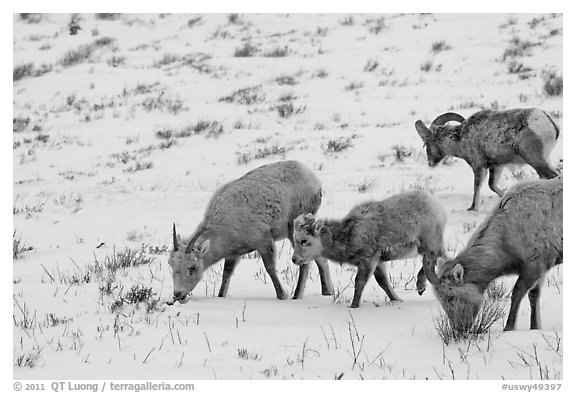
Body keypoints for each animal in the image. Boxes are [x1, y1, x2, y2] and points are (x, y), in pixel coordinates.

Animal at [166, 159, 332, 304]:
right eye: (171, 265)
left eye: (192, 268)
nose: (178, 294)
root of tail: (314, 179)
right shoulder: (233, 254)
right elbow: (226, 275)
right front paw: (221, 296)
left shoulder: (264, 241)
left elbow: (270, 268)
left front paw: (283, 296)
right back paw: (328, 292)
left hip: (293, 230)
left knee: (305, 263)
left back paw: (297, 296)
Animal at [292, 190, 446, 306]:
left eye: (304, 241)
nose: (294, 259)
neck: (347, 238)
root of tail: (436, 204)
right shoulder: (378, 261)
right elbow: (383, 282)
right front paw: (397, 300)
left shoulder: (369, 259)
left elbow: (359, 283)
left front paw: (354, 306)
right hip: (427, 246)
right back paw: (421, 286)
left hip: (430, 243)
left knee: (435, 261)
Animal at [416, 107, 560, 211]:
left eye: (427, 143)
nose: (430, 163)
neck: (460, 138)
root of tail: (548, 122)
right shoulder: (496, 166)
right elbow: (492, 185)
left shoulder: (478, 166)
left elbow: (476, 187)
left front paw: (472, 209)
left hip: (537, 162)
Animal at [426, 178, 564, 330]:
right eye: (439, 299)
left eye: (450, 297)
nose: (459, 328)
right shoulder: (541, 265)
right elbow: (533, 295)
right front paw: (535, 326)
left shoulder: (537, 262)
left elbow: (517, 294)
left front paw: (509, 327)